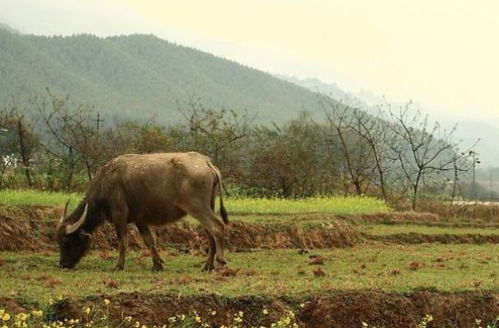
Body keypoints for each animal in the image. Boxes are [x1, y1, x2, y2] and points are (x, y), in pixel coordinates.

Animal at [56, 152, 229, 270]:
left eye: (66, 242)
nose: (63, 264)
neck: (105, 184)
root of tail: (207, 163)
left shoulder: (119, 215)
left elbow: (123, 241)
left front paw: (119, 265)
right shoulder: (141, 219)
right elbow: (149, 240)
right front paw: (157, 264)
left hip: (198, 208)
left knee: (217, 227)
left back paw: (220, 260)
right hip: (208, 206)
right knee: (210, 233)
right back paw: (208, 266)